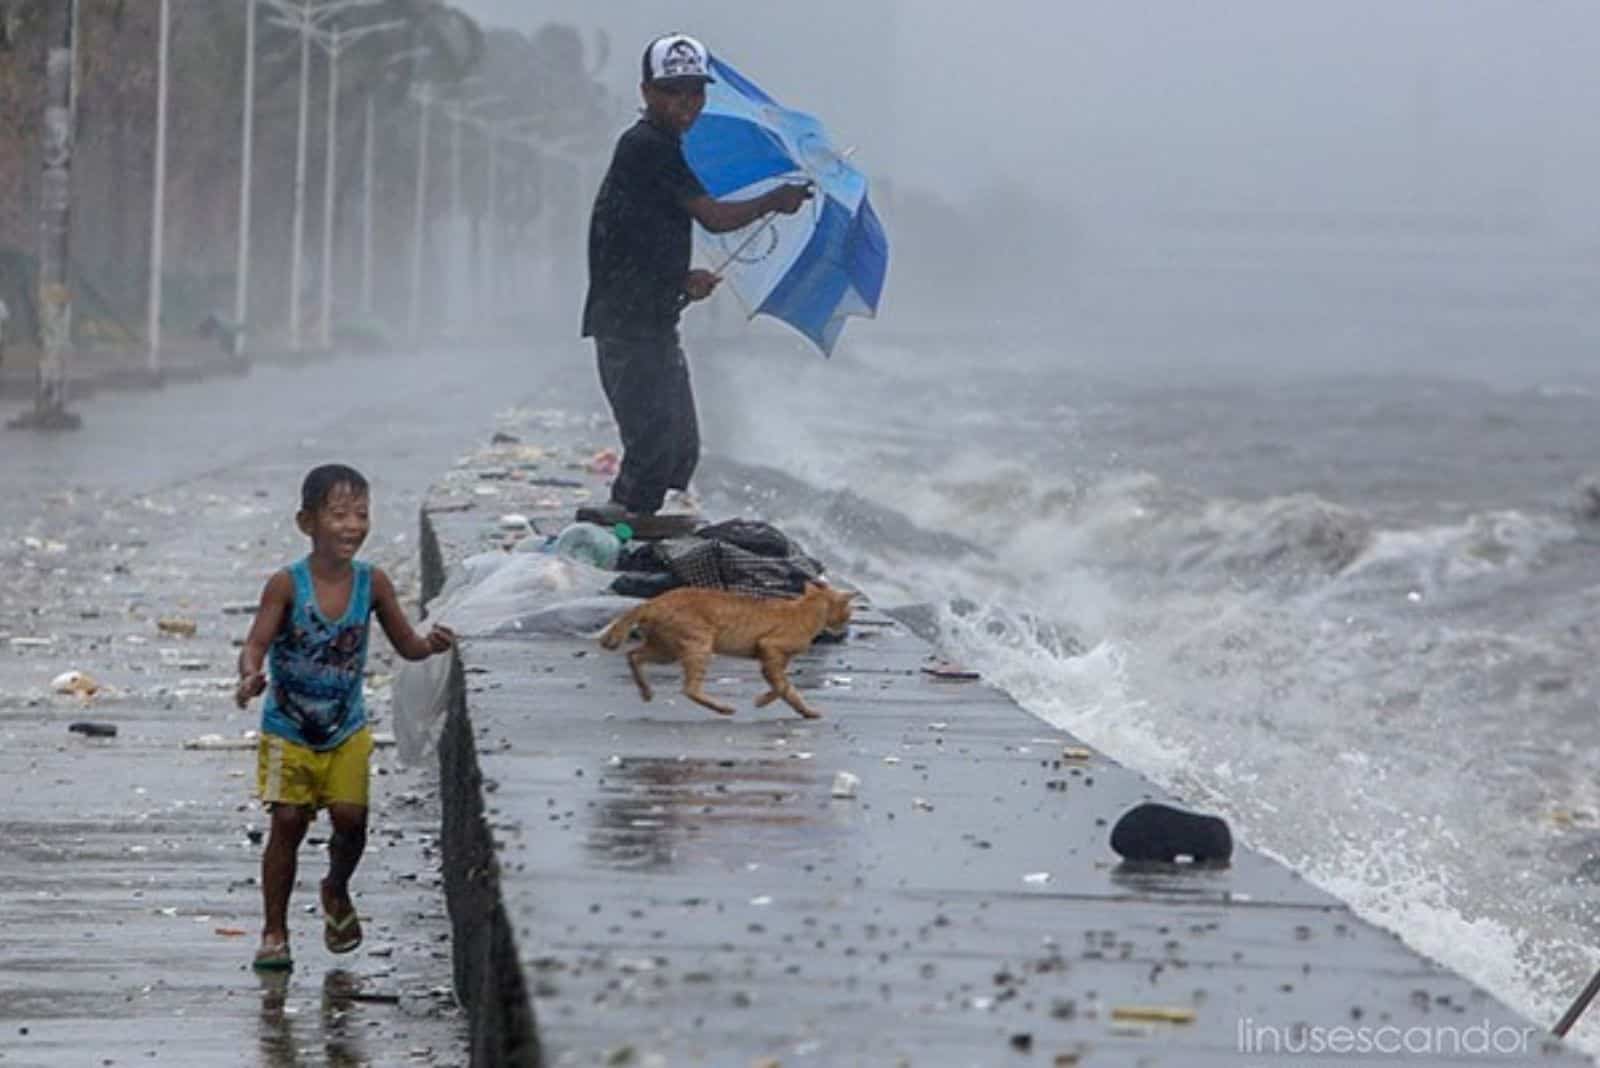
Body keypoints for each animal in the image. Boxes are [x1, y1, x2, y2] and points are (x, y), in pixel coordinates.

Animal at [598, 578, 857, 722]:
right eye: (848, 611)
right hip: (699, 645)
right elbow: (784, 687)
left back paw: (646, 692)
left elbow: (786, 688)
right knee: (689, 688)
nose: (848, 622)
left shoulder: (771, 658)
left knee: (633, 655)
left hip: (666, 649)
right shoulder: (770, 649)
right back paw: (723, 709)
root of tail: (652, 601)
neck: (807, 607)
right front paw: (762, 701)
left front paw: (804, 711)